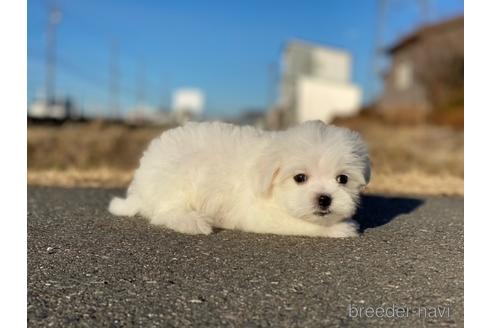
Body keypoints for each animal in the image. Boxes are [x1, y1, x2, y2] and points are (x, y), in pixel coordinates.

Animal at [107, 119, 368, 237]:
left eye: (342, 179)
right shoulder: (262, 214)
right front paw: (340, 228)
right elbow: (301, 223)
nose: (324, 199)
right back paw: (193, 221)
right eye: (300, 178)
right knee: (164, 212)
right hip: (179, 177)